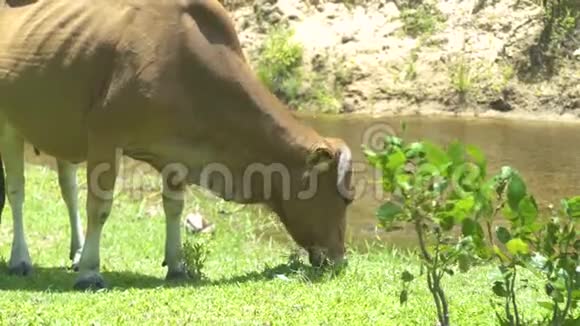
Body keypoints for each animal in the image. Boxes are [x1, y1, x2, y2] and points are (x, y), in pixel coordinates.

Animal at [0, 0, 354, 290]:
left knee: (67, 188)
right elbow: (99, 207)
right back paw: (21, 259)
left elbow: (173, 207)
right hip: (9, 126)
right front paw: (90, 271)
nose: (339, 259)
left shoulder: (176, 151)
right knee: (17, 191)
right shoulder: (105, 137)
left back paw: (74, 251)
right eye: (344, 199)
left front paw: (177, 266)